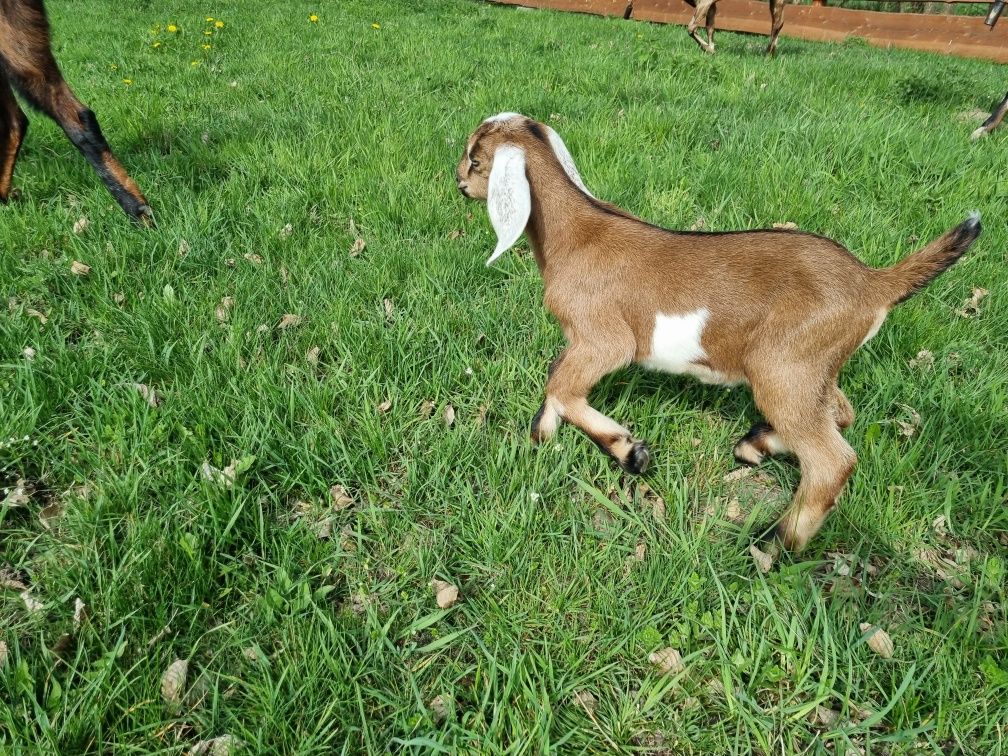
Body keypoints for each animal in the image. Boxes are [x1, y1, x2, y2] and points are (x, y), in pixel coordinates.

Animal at [459, 110, 983, 552]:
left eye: (476, 158)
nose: (460, 182)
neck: (574, 234)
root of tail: (873, 283)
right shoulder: (578, 342)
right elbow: (556, 375)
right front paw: (542, 434)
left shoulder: (603, 338)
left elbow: (562, 385)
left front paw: (630, 452)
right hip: (815, 367)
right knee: (841, 413)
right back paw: (759, 445)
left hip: (783, 366)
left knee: (833, 460)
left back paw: (775, 544)